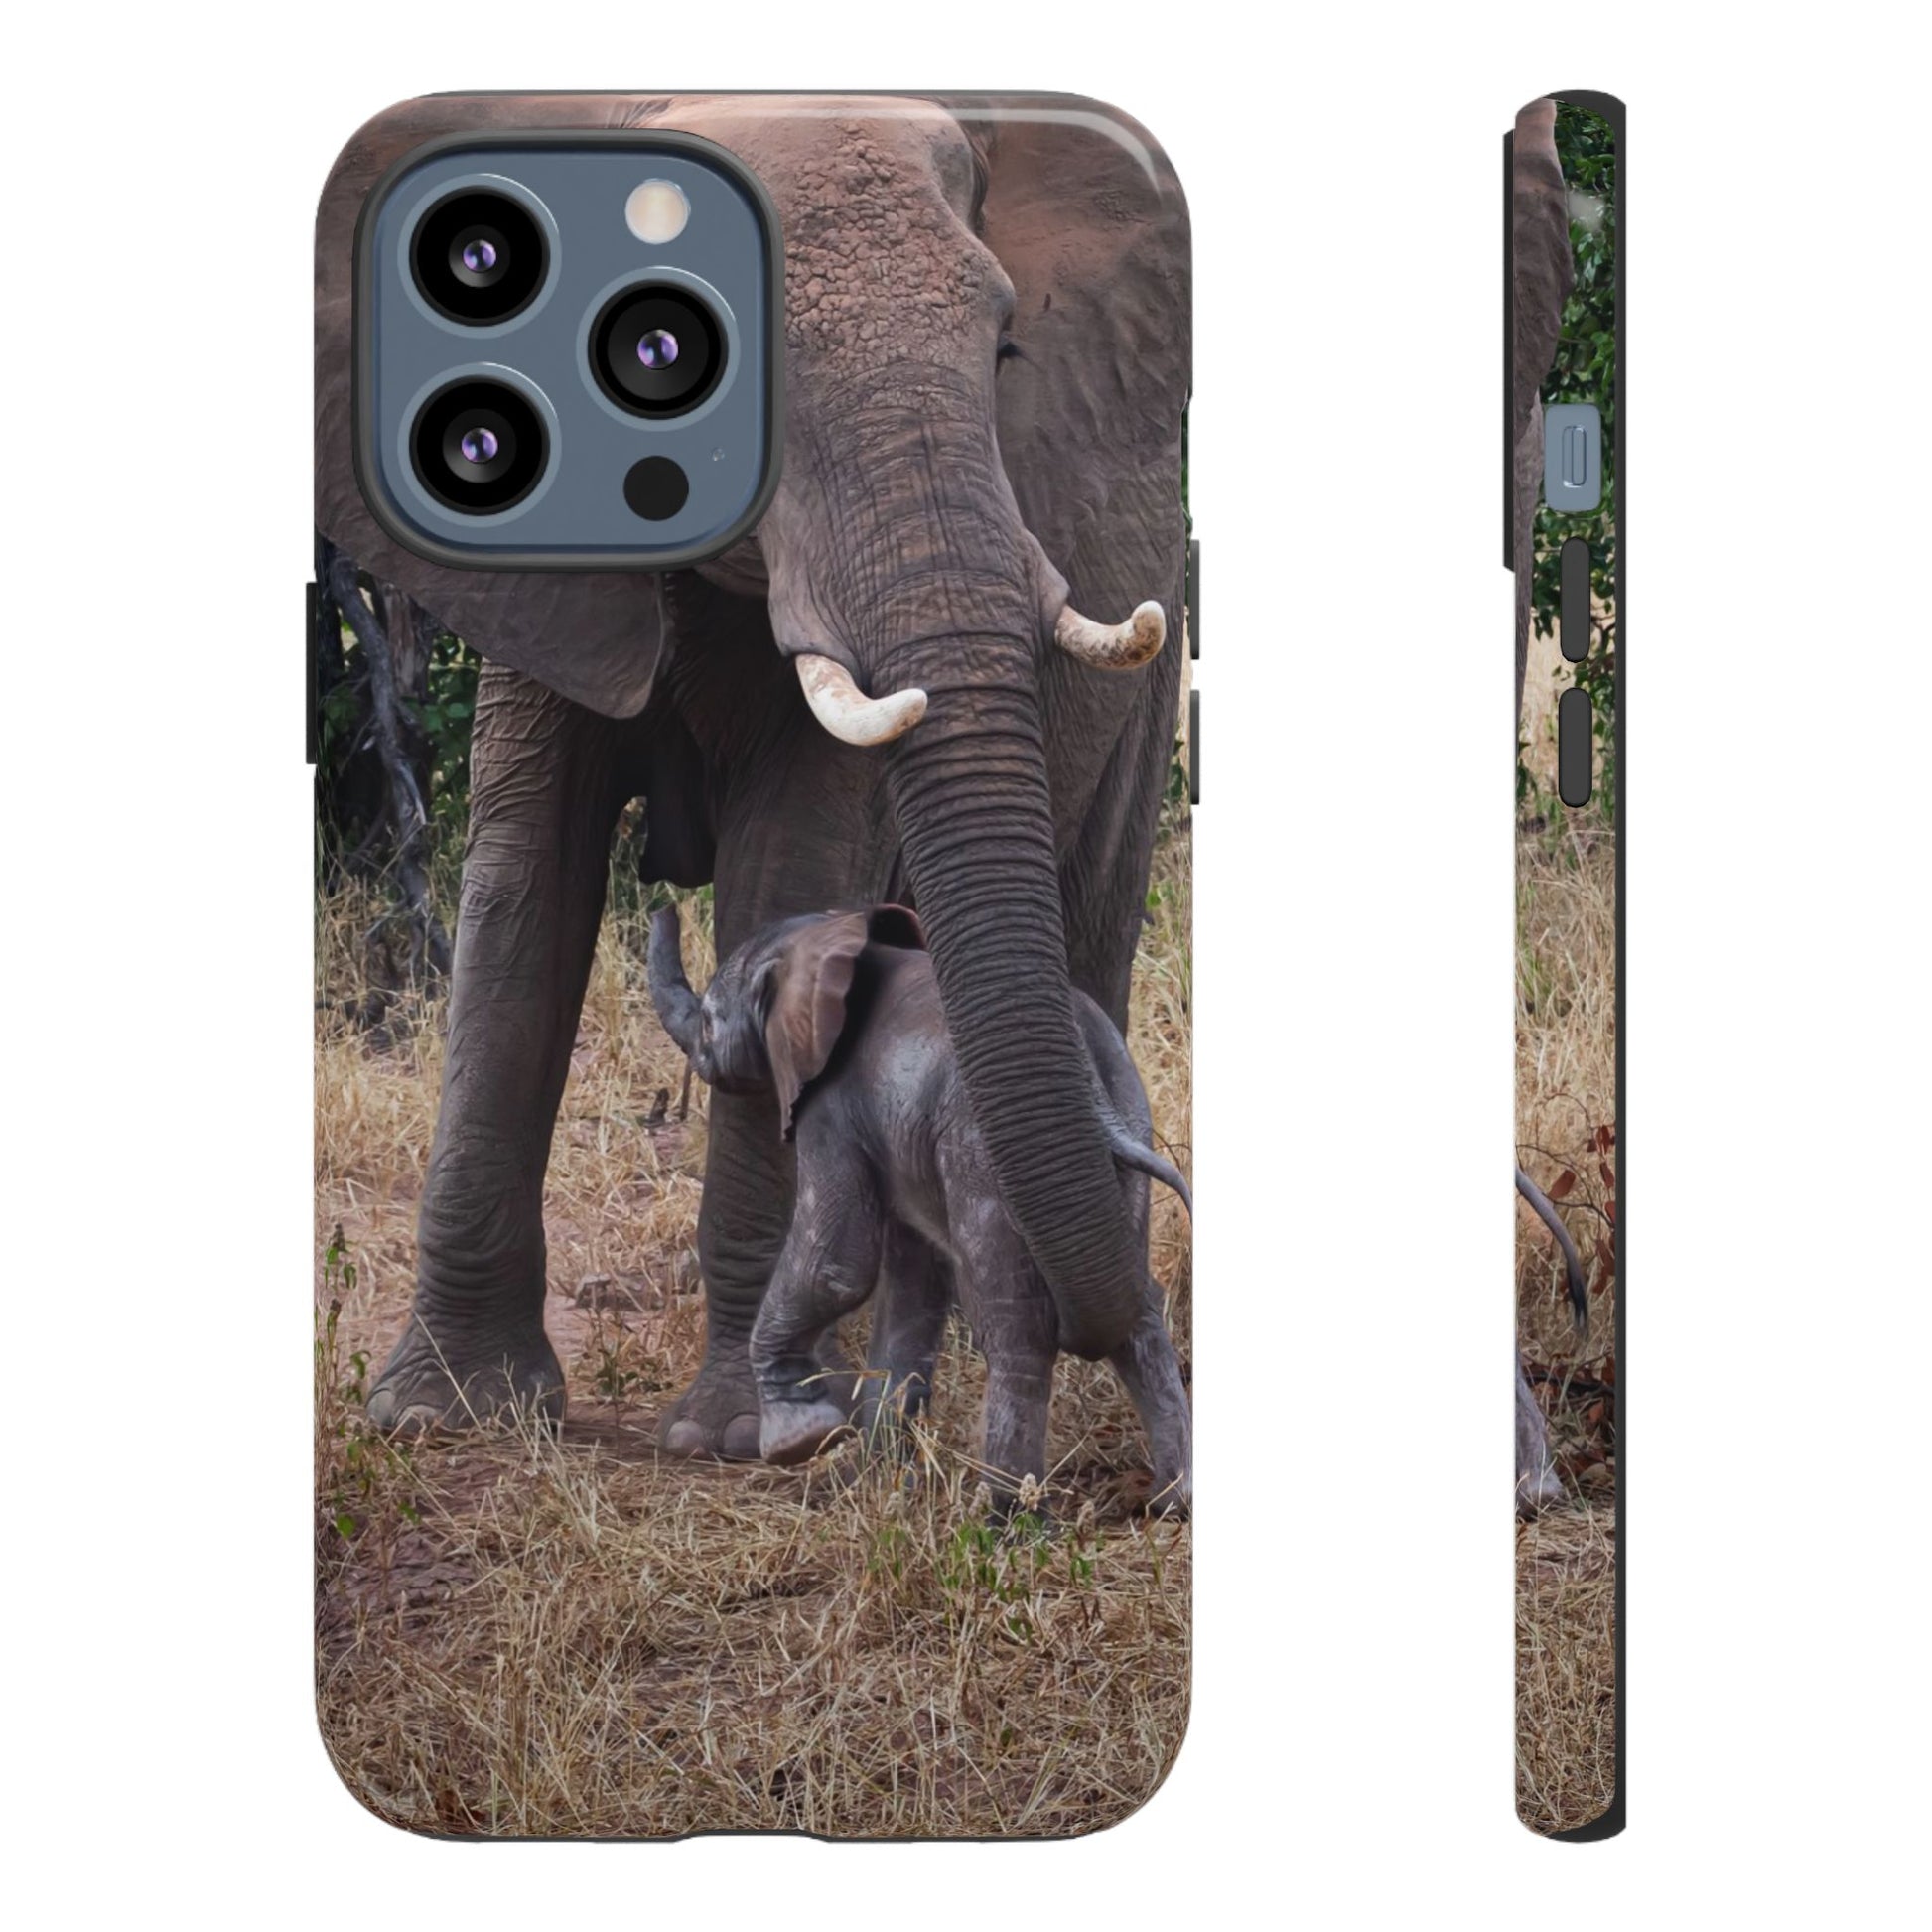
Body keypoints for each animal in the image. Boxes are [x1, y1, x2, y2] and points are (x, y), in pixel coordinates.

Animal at [647, 904, 1192, 1513]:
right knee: (1137, 1307)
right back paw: (1173, 1500)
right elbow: (912, 1283)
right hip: (1129, 1119)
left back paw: (1007, 1516)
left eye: (710, 1020)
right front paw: (871, 1480)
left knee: (1014, 1320)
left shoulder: (830, 1106)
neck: (829, 941)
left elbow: (836, 1265)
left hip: (978, 1151)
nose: (663, 908)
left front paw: (801, 1438)